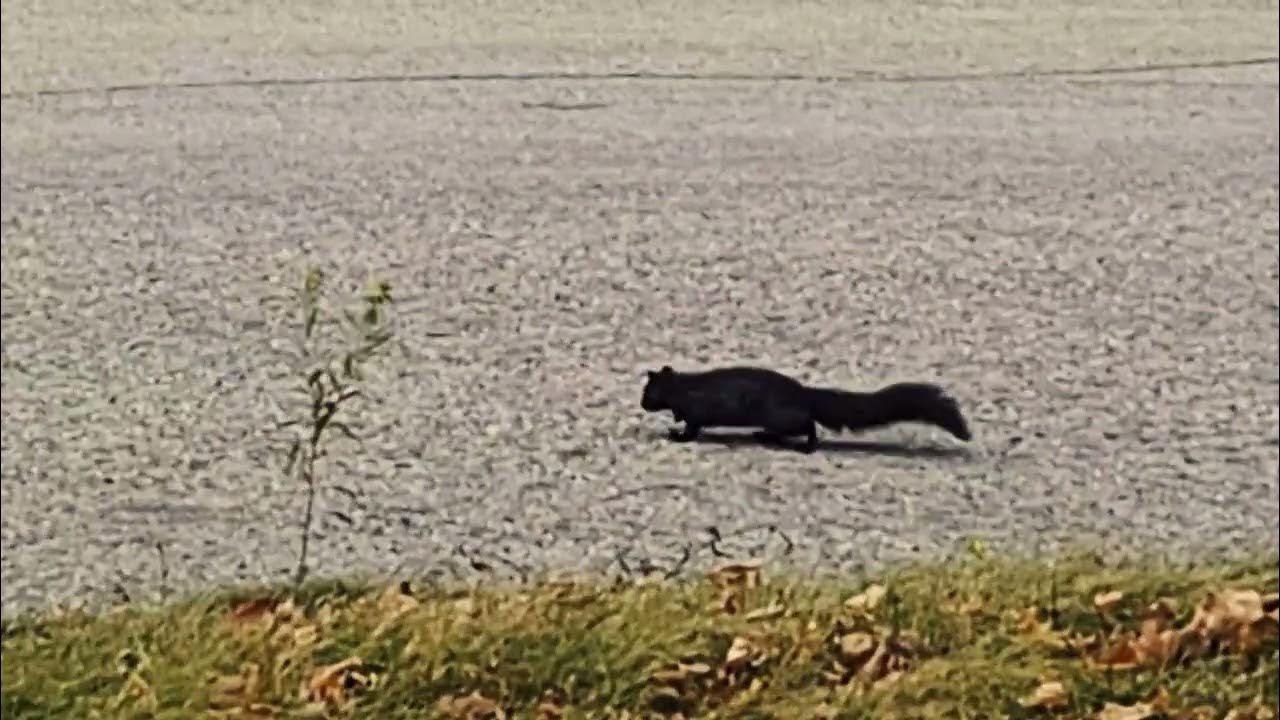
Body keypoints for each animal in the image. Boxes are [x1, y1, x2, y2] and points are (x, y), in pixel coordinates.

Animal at [640, 364, 972, 453]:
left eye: (648, 392)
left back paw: (801, 445)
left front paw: (674, 435)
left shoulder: (696, 412)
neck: (682, 387)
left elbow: (692, 429)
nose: (641, 404)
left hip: (783, 416)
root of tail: (804, 394)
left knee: (809, 426)